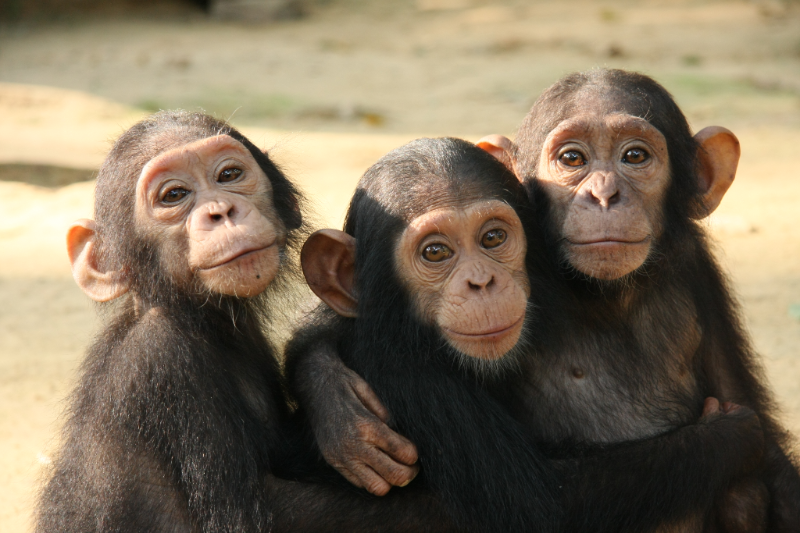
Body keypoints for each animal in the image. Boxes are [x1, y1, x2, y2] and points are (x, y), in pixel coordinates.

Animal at [36, 110, 456, 528]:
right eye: (174, 196)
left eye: (229, 175)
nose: (221, 211)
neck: (198, 319)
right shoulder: (164, 365)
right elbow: (252, 514)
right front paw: (341, 414)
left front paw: (330, 396)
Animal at [284, 70, 796, 532]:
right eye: (573, 158)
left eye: (635, 156)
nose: (604, 194)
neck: (600, 295)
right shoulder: (405, 366)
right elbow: (540, 503)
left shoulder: (695, 264)